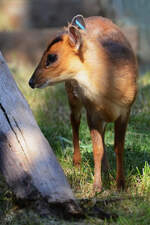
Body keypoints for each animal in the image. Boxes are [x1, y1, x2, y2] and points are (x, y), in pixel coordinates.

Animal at [29, 14, 138, 192]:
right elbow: (97, 149)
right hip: (72, 96)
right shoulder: (92, 112)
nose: (31, 82)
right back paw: (78, 163)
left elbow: (118, 147)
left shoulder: (126, 110)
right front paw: (97, 186)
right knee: (74, 122)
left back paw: (107, 170)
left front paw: (120, 184)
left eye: (51, 57)